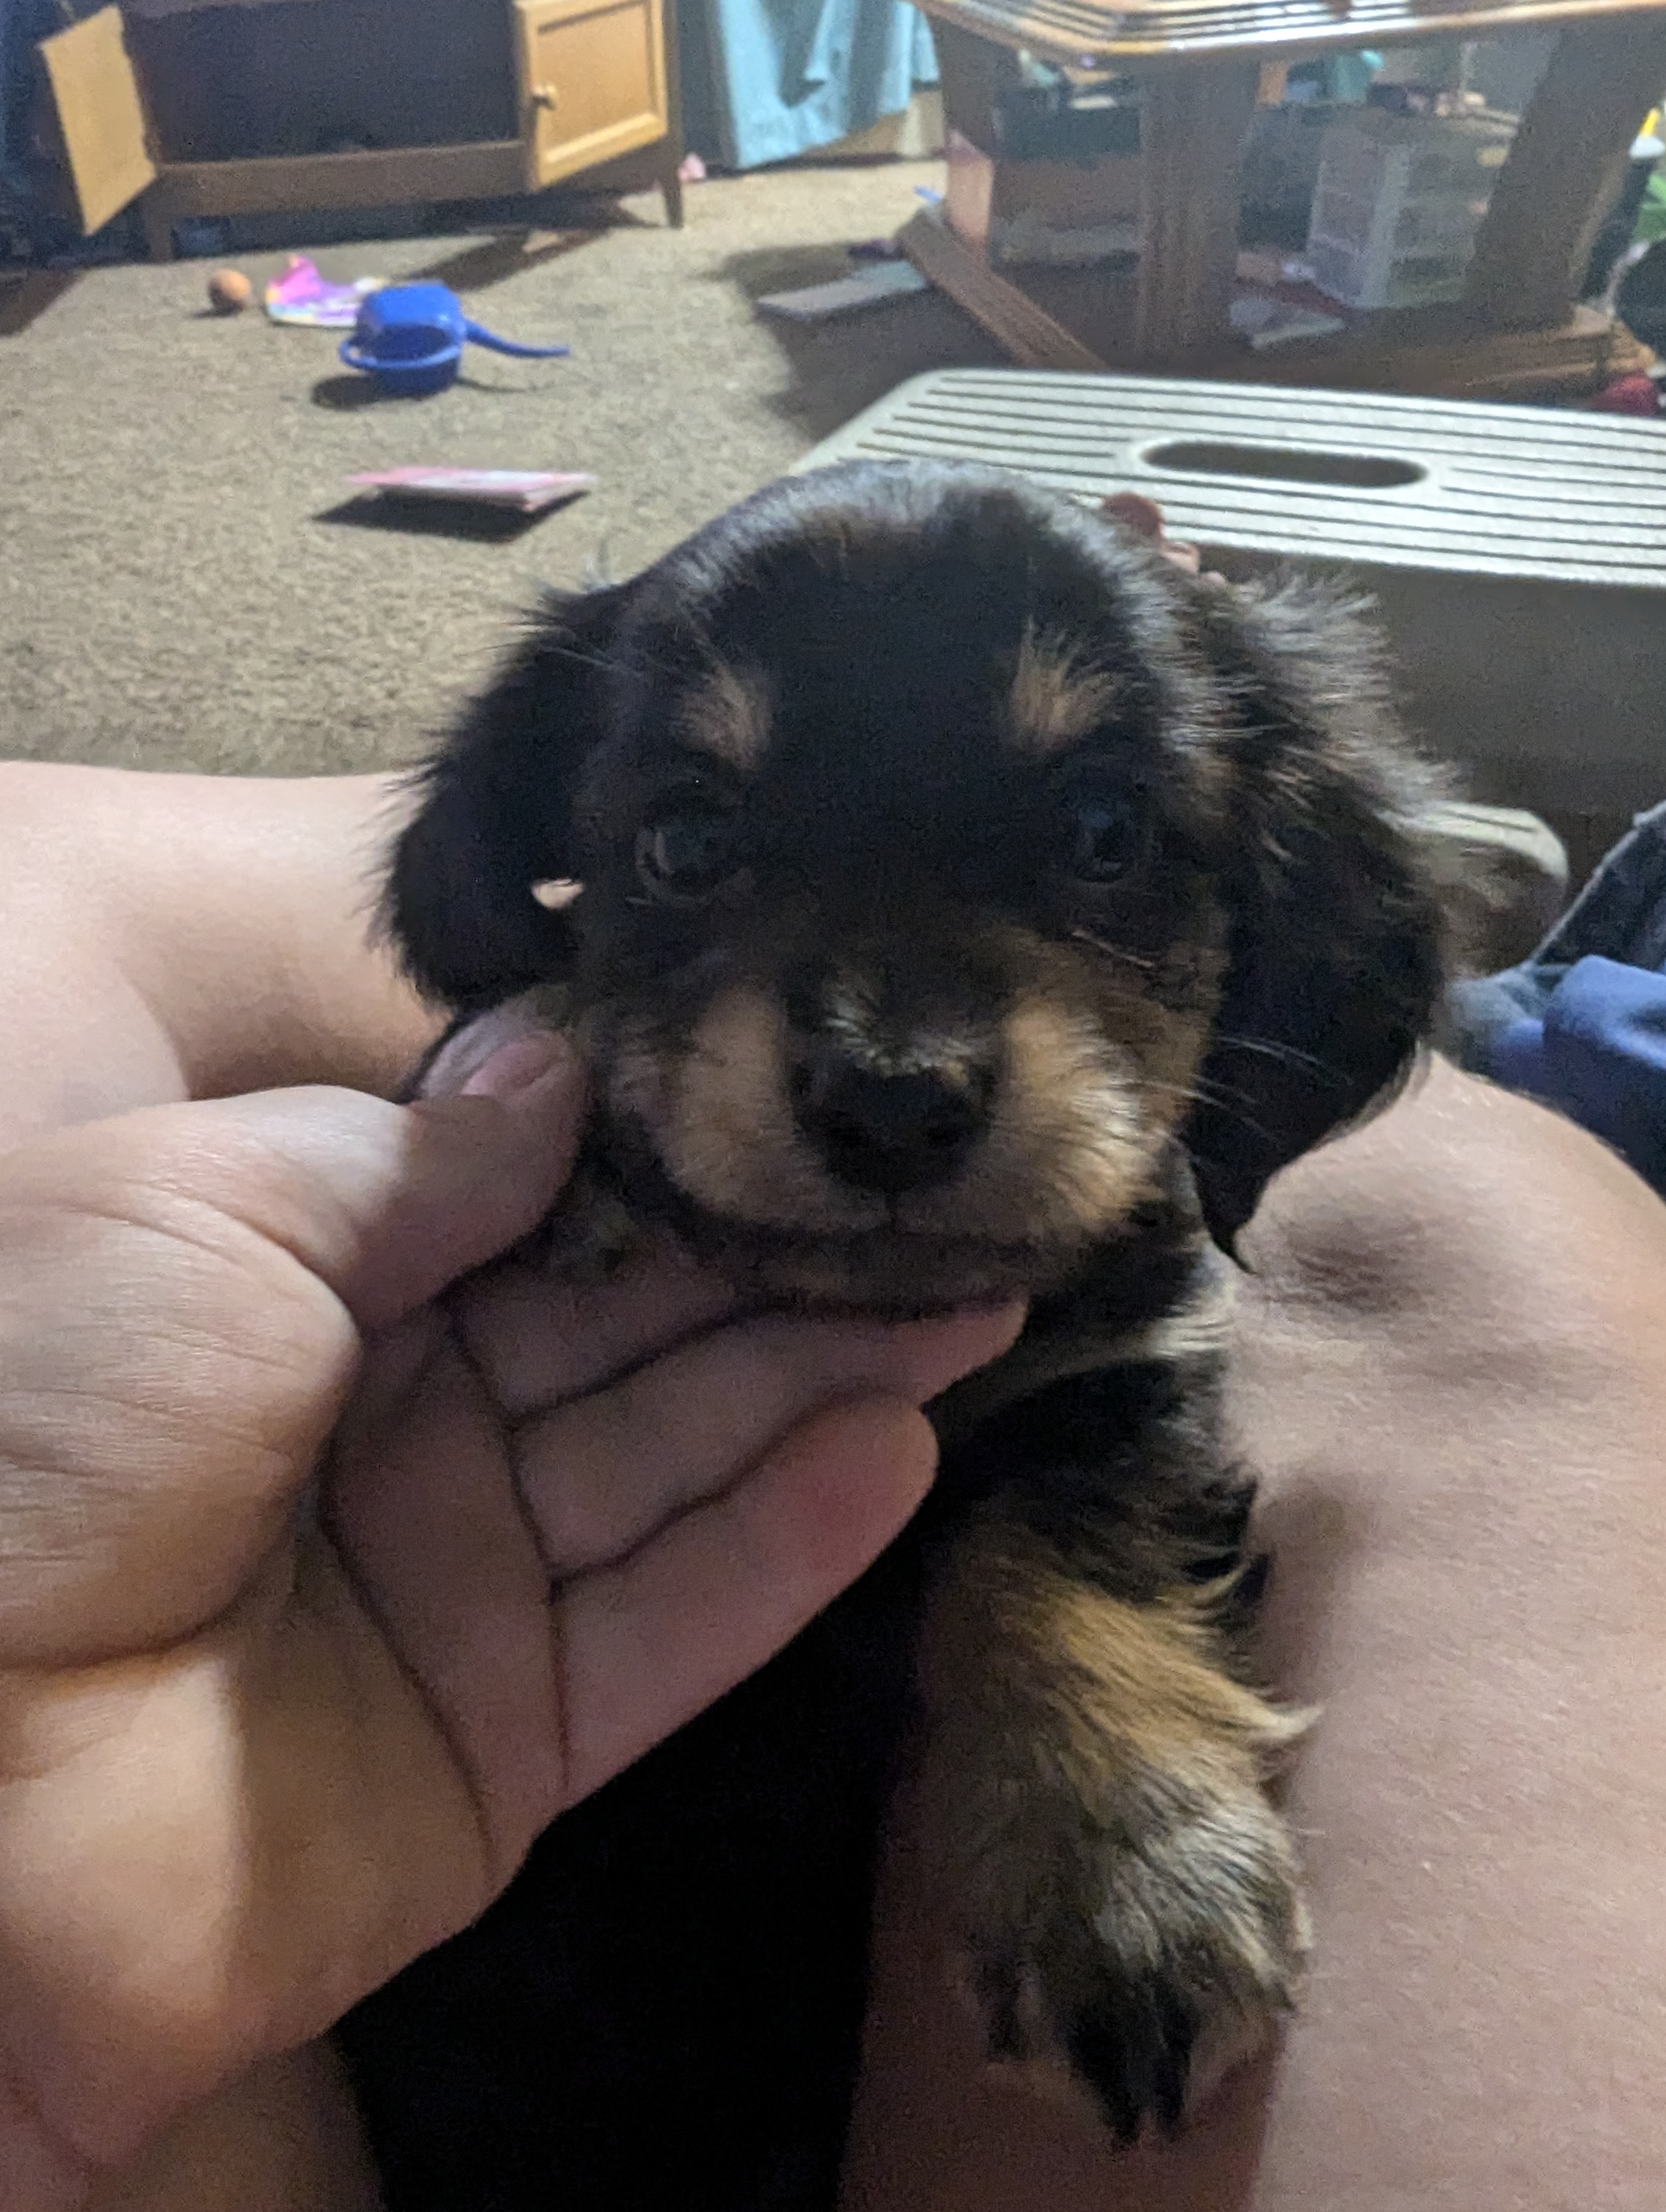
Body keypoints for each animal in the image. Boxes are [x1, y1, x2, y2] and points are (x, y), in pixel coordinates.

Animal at [338, 459, 1446, 2212]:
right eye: (683, 840)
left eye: (1105, 833)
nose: (890, 1102)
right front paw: (574, 1097)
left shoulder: (1113, 1380)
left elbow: (1047, 1554)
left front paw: (1115, 1870)